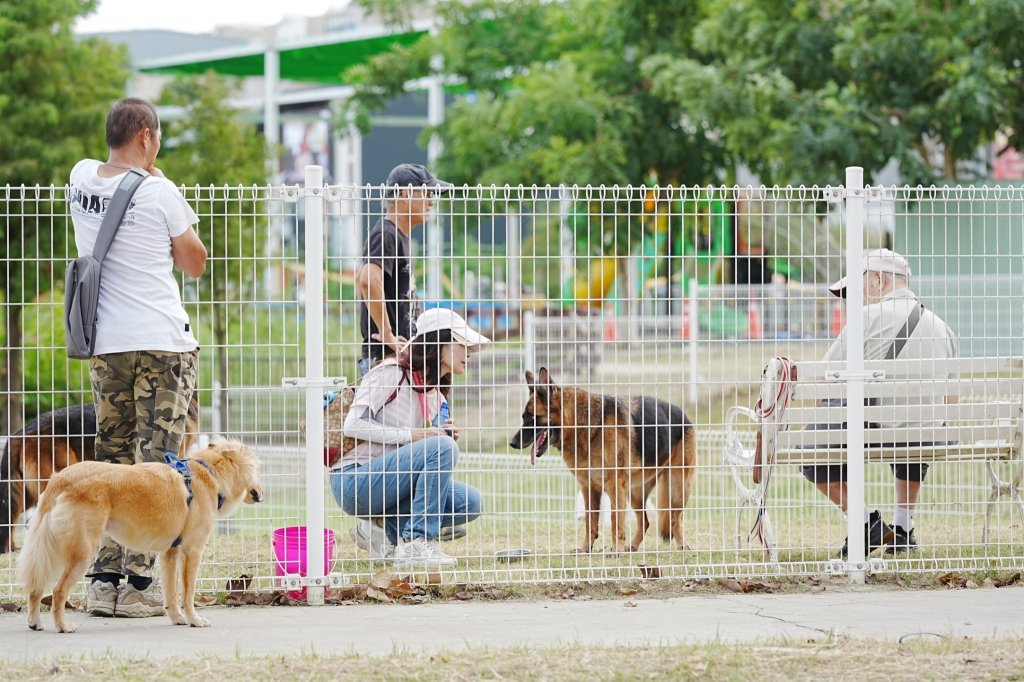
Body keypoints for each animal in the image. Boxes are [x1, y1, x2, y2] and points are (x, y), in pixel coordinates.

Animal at [18, 438, 264, 630]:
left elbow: (172, 593)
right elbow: (187, 593)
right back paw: (62, 626)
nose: (262, 492)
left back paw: (34, 622)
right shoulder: (192, 552)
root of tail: (61, 478)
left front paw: (177, 618)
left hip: (48, 550)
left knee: (36, 588)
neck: (208, 473)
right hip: (82, 552)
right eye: (256, 469)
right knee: (58, 591)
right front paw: (194, 619)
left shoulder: (171, 554)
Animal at [509, 366, 696, 552]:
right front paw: (586, 549)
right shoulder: (589, 488)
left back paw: (682, 545)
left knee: (676, 520)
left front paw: (616, 549)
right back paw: (632, 546)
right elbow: (590, 522)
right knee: (645, 522)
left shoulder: (614, 486)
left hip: (678, 488)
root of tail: (684, 415)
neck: (586, 426)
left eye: (532, 417)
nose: (512, 443)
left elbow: (615, 520)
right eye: (524, 417)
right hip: (635, 493)